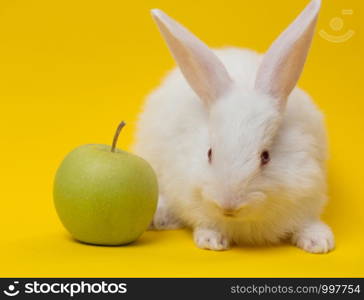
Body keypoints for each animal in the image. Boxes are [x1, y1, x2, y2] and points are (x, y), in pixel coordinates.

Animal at [132, 0, 334, 253]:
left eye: (265, 157)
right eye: (209, 153)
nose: (229, 206)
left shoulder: (307, 191)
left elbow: (307, 222)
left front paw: (320, 242)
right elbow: (205, 221)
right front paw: (211, 241)